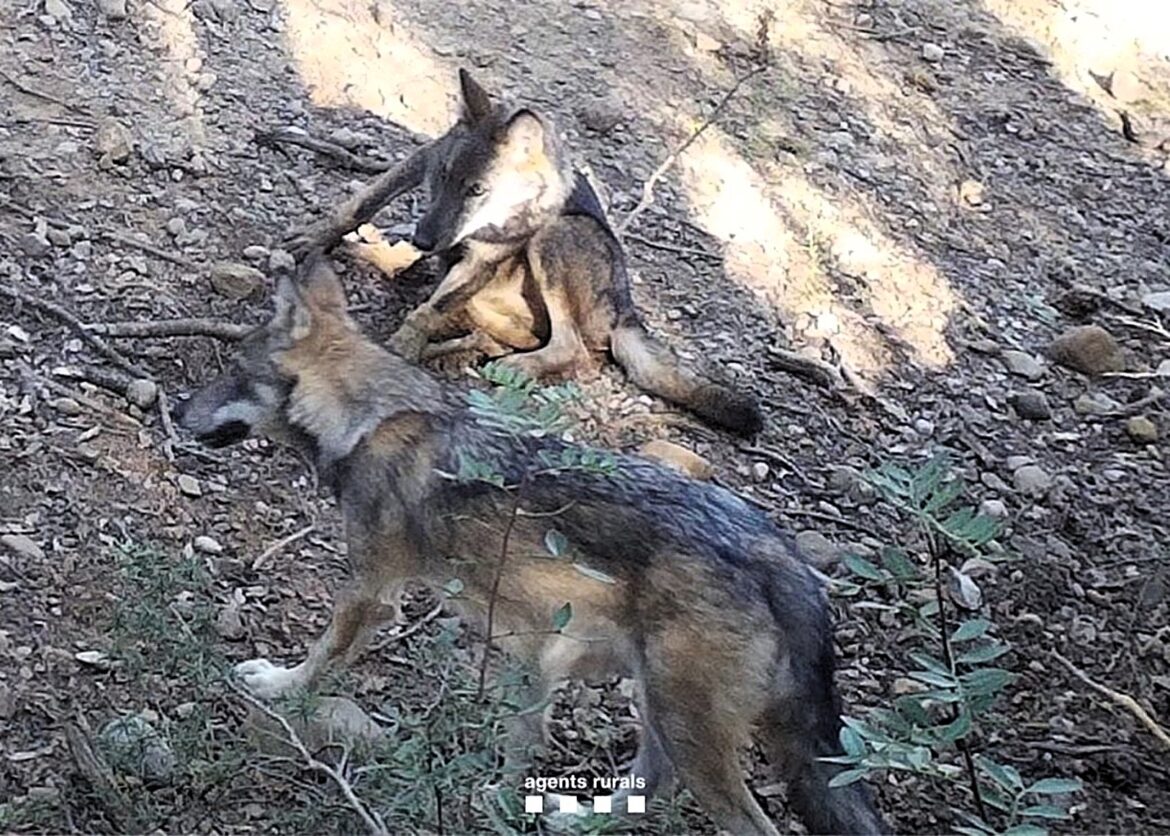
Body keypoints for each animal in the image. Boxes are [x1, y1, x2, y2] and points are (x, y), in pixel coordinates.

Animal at [175, 257, 885, 836]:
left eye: (233, 373)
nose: (178, 412)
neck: (370, 418)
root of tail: (782, 555)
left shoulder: (372, 593)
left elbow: (320, 660)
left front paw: (279, 685)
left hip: (687, 732)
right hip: (655, 709)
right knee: (647, 789)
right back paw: (572, 819)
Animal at [286, 69, 762, 437]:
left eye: (477, 190)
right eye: (443, 176)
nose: (423, 240)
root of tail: (626, 313)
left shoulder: (484, 258)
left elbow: (427, 311)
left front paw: (402, 347)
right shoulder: (420, 161)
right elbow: (361, 202)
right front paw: (314, 238)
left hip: (555, 236)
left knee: (573, 351)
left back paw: (504, 365)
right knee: (501, 333)